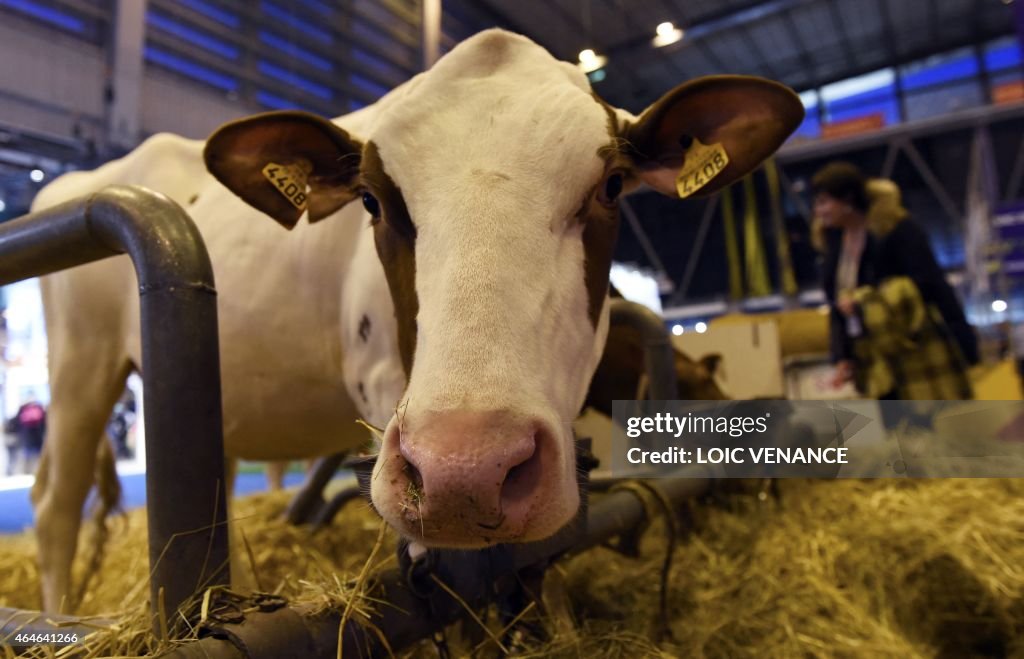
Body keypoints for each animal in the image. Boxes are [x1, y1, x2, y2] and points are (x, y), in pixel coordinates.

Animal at [29, 28, 798, 609]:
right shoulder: (376, 382)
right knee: (54, 505)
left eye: (611, 186)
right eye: (370, 199)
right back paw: (65, 617)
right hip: (79, 368)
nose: (467, 470)